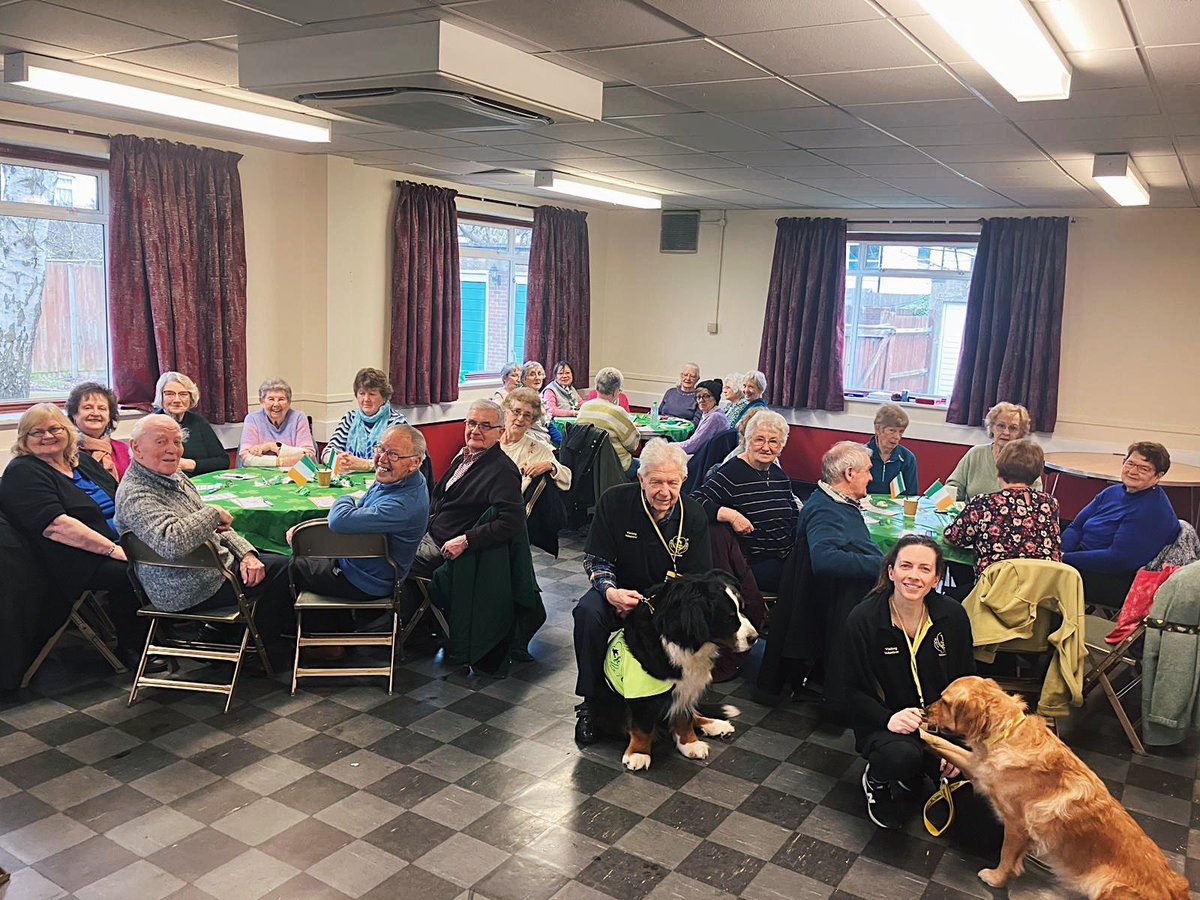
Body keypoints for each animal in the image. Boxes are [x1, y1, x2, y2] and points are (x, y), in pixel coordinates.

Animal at [592, 573, 753, 772]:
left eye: (741, 609)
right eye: (729, 617)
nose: (754, 638)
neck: (685, 643)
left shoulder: (686, 687)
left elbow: (684, 717)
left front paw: (689, 743)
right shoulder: (641, 692)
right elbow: (642, 727)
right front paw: (638, 753)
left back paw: (715, 724)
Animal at [921, 681, 1185, 897]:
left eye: (944, 701)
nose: (925, 711)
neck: (1006, 732)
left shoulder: (1016, 824)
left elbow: (1006, 855)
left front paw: (996, 879)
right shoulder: (979, 769)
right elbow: (941, 742)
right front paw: (916, 728)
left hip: (1109, 887)